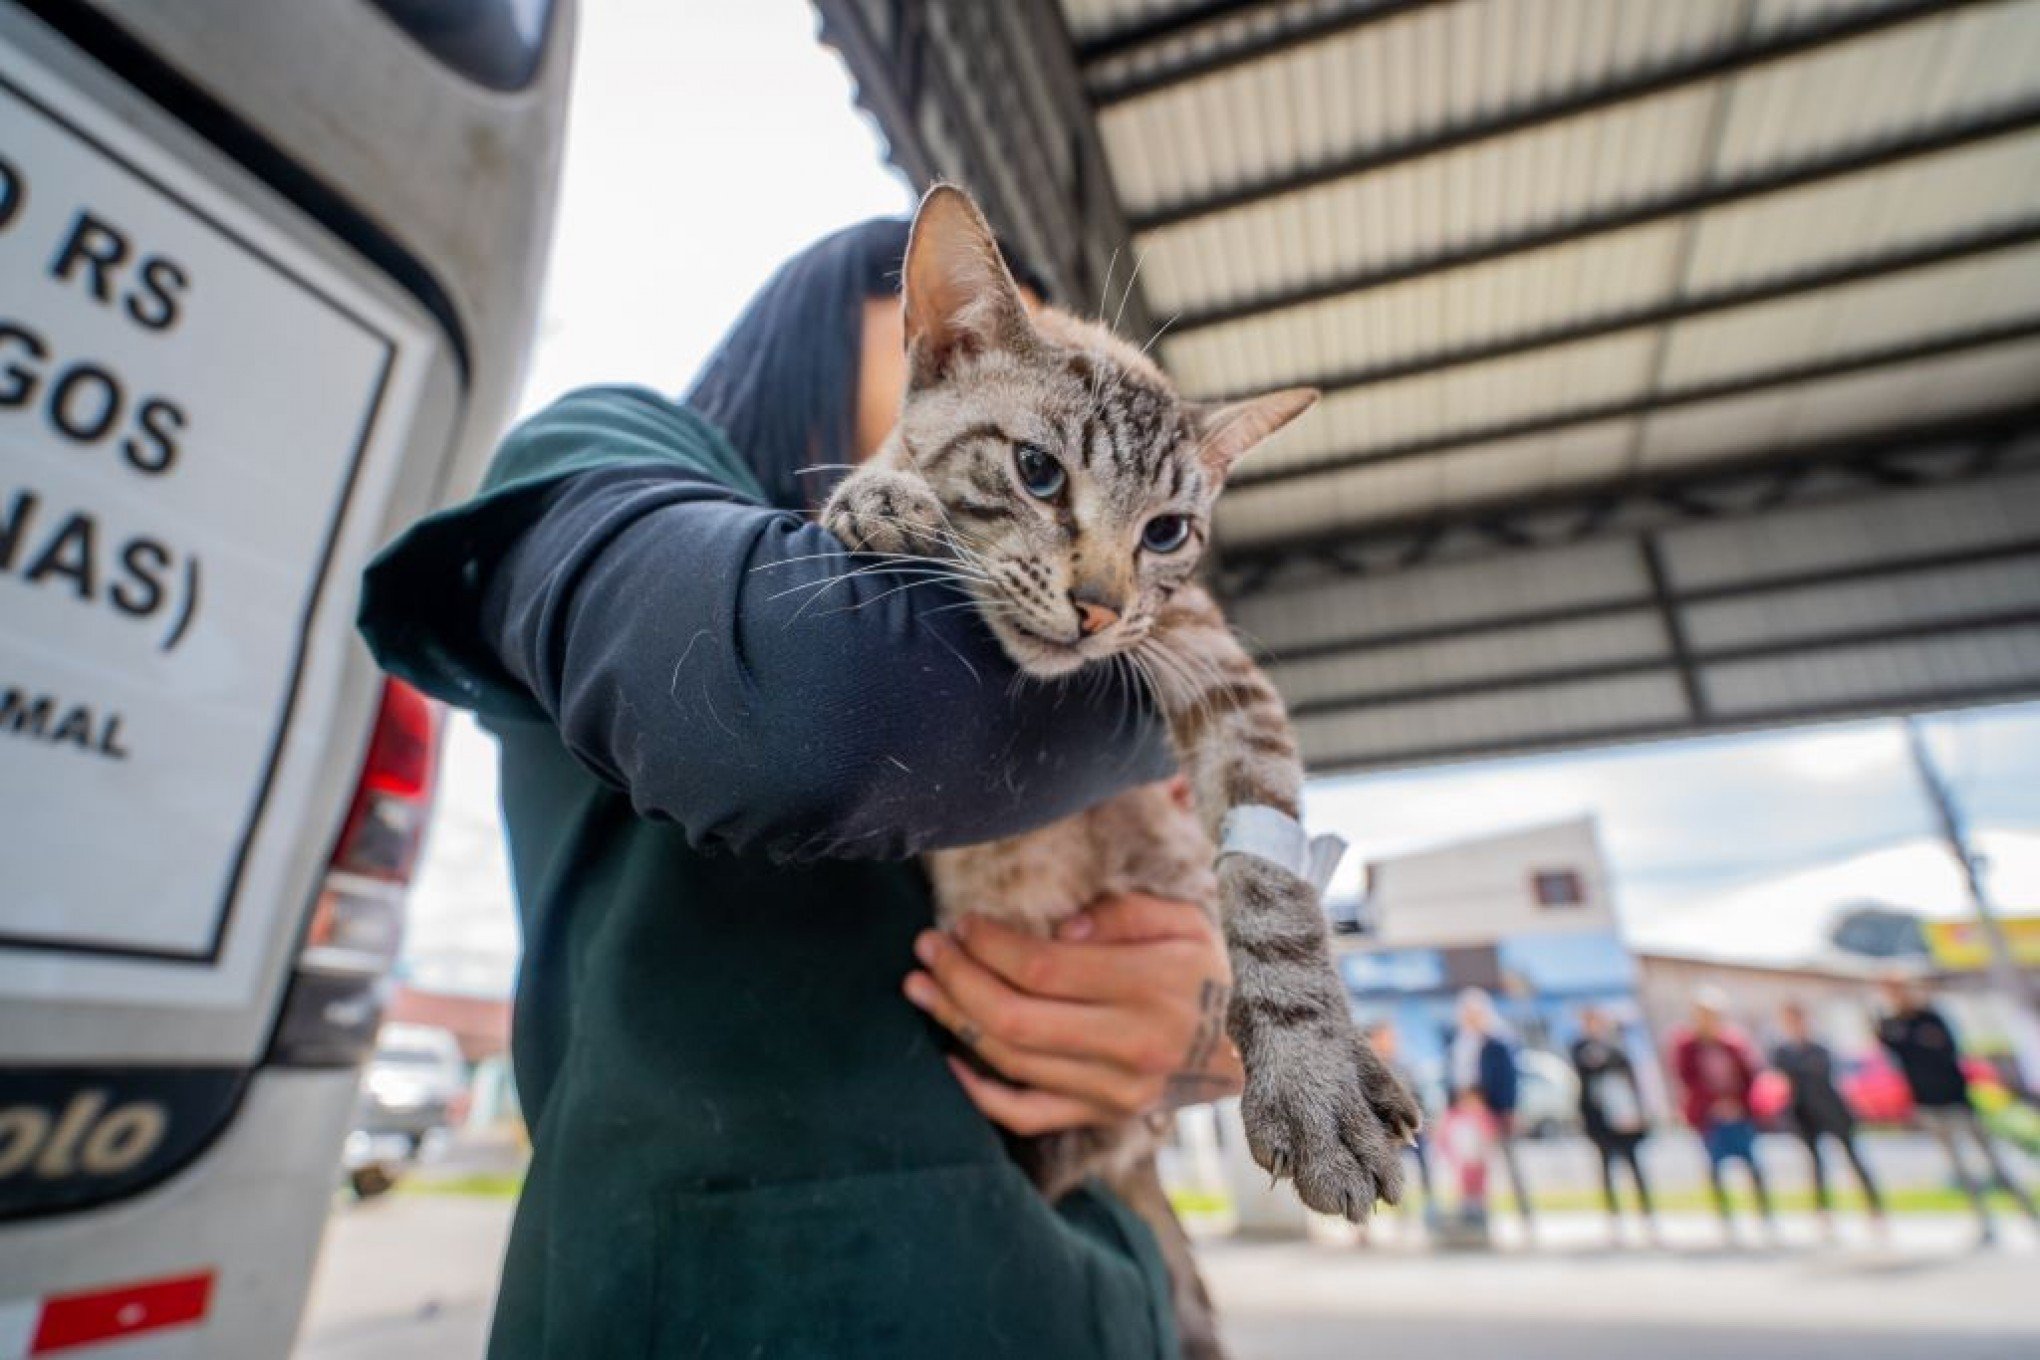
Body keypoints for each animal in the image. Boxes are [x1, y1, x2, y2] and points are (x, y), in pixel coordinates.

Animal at [816, 186, 1419, 1353]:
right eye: (1038, 471)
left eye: (1169, 532)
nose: (1100, 606)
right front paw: (884, 492)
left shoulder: (1217, 668)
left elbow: (1272, 887)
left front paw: (1314, 1076)